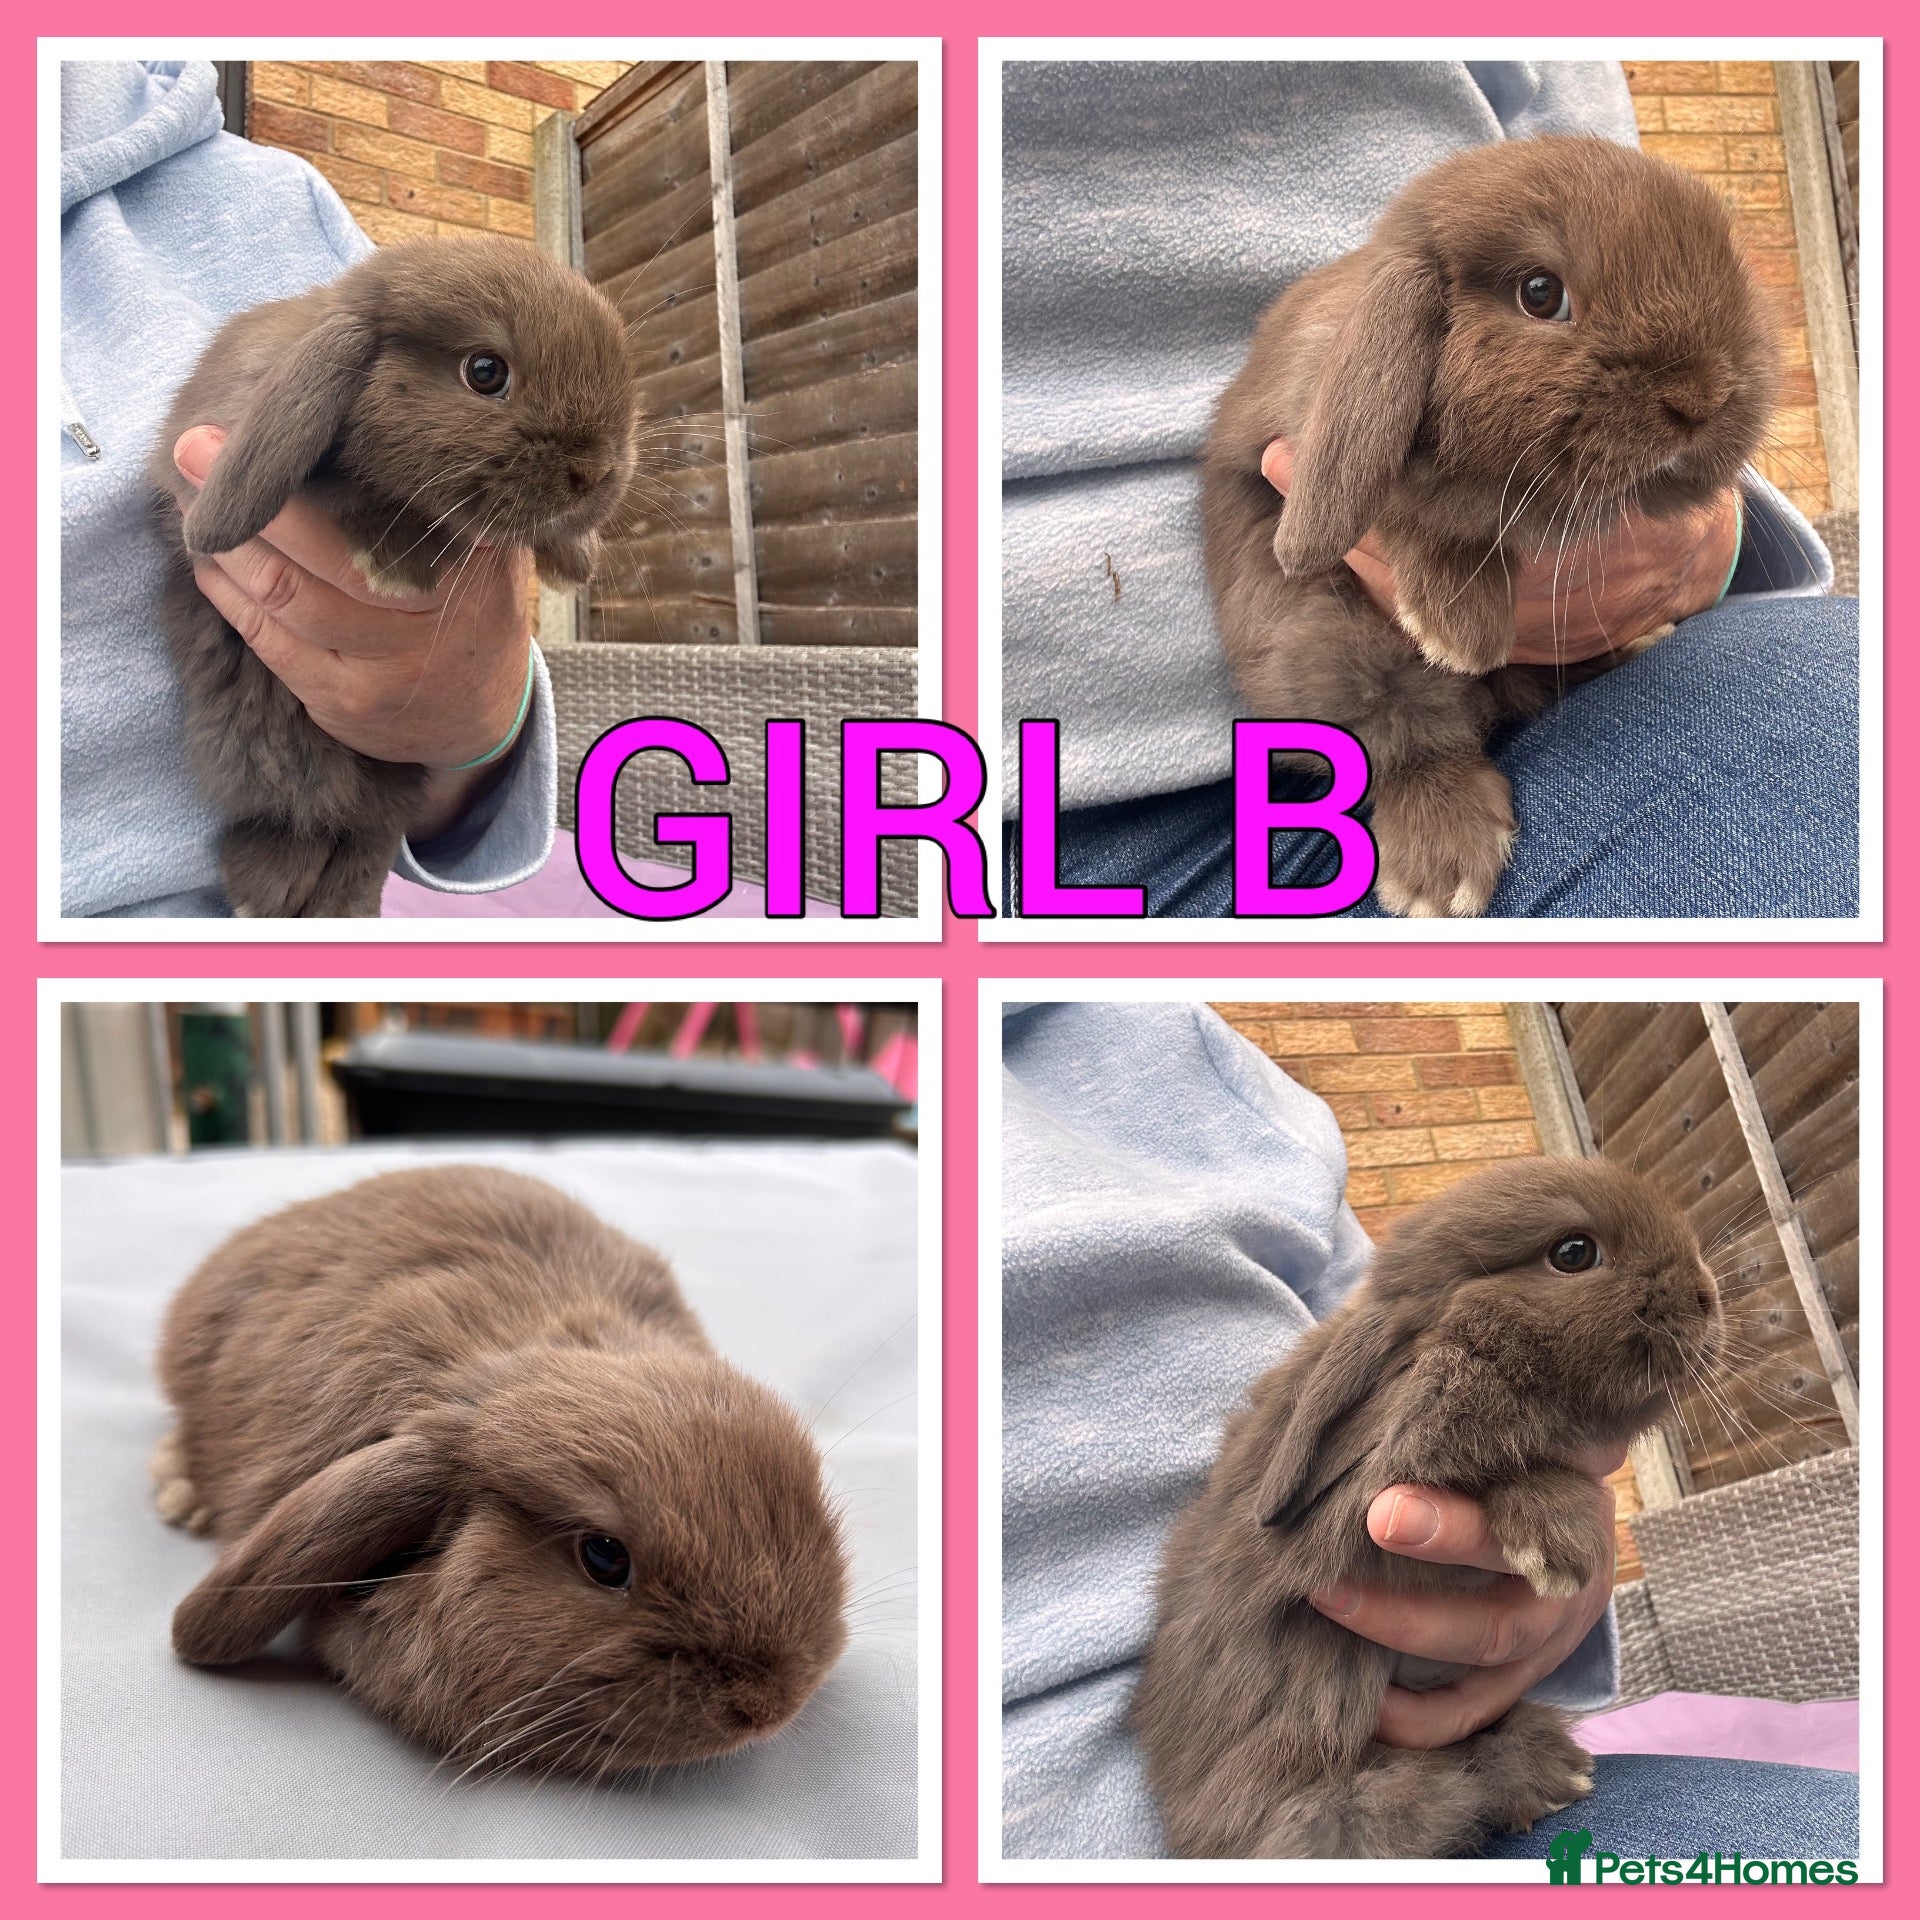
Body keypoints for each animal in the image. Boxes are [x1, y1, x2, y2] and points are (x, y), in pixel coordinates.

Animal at [149, 235, 639, 918]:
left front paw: (573, 558)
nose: (594, 472)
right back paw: (264, 893)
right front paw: (400, 565)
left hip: (393, 774)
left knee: (367, 835)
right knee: (297, 821)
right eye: (485, 372)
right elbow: (360, 496)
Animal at [1202, 136, 1779, 916]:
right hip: (1324, 643)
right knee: (1406, 738)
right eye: (1540, 293)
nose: (1703, 397)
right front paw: (1459, 627)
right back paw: (1443, 868)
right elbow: (1431, 513)